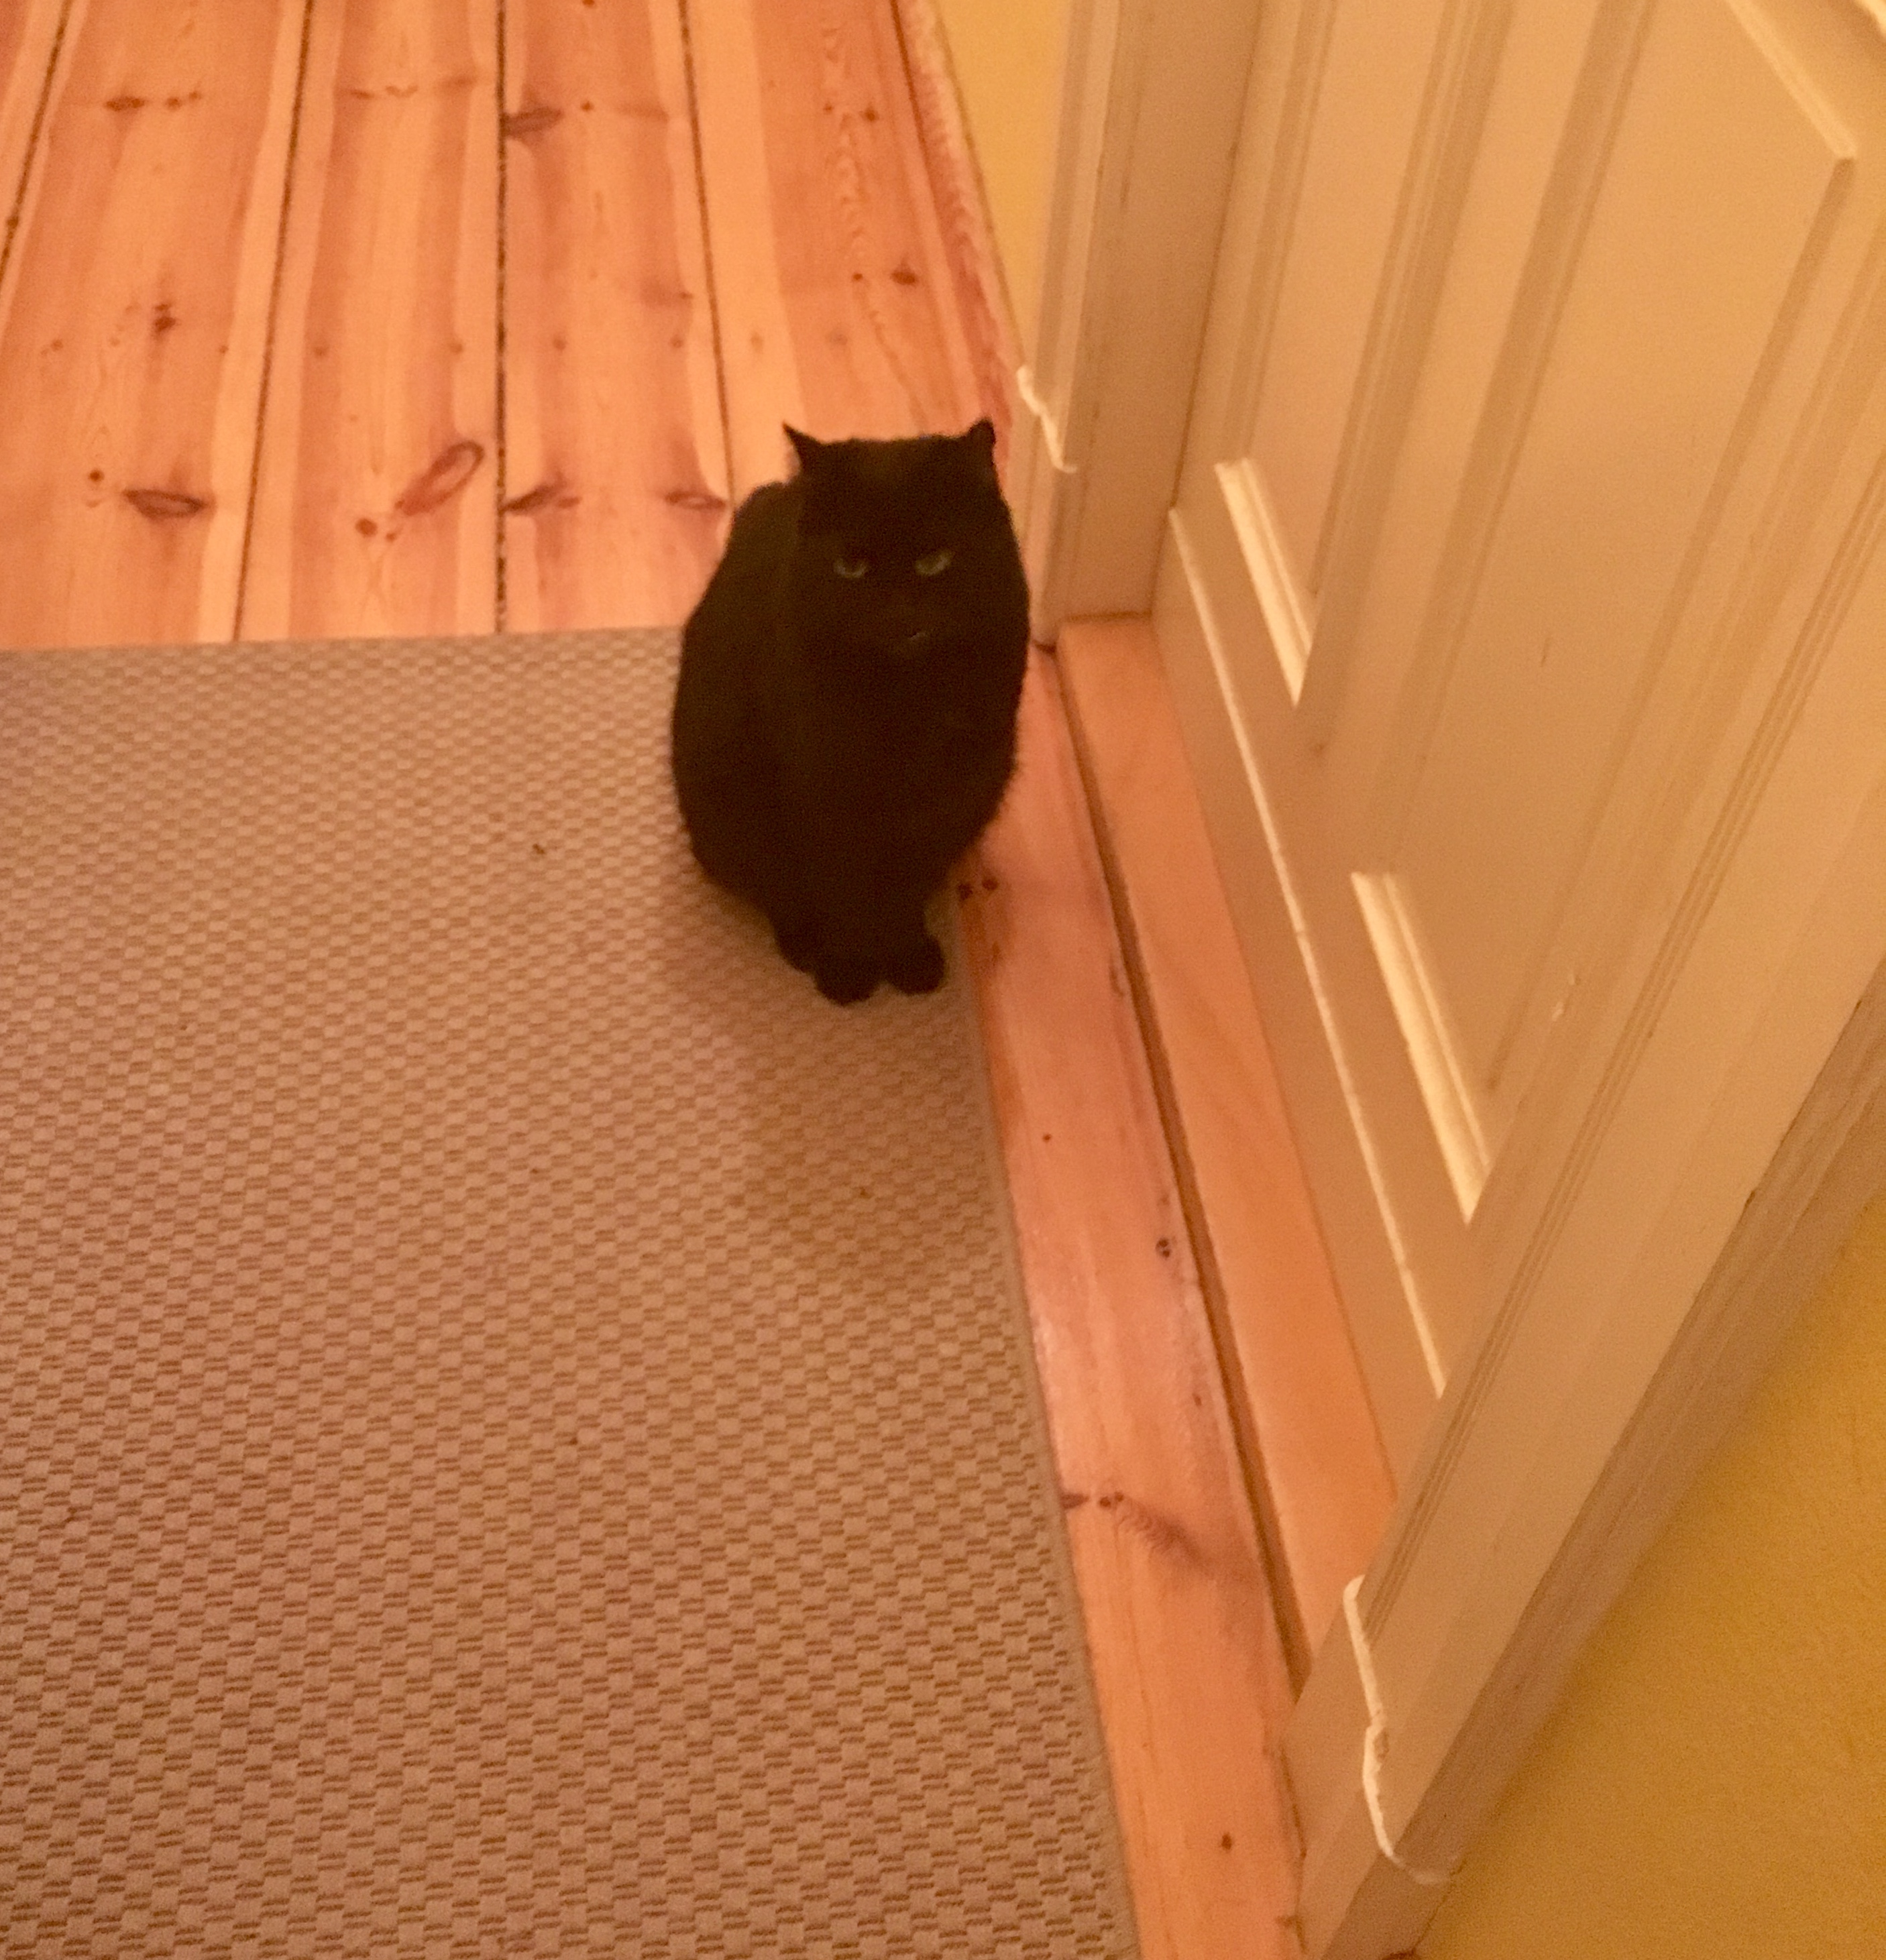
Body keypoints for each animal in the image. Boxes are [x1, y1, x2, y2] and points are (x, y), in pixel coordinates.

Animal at [670, 418, 1030, 1006]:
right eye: (851, 566)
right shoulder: (821, 797)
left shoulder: (942, 802)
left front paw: (910, 958)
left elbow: (904, 891)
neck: (902, 700)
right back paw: (803, 946)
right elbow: (841, 894)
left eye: (935, 560)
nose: (897, 612)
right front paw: (849, 968)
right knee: (779, 891)